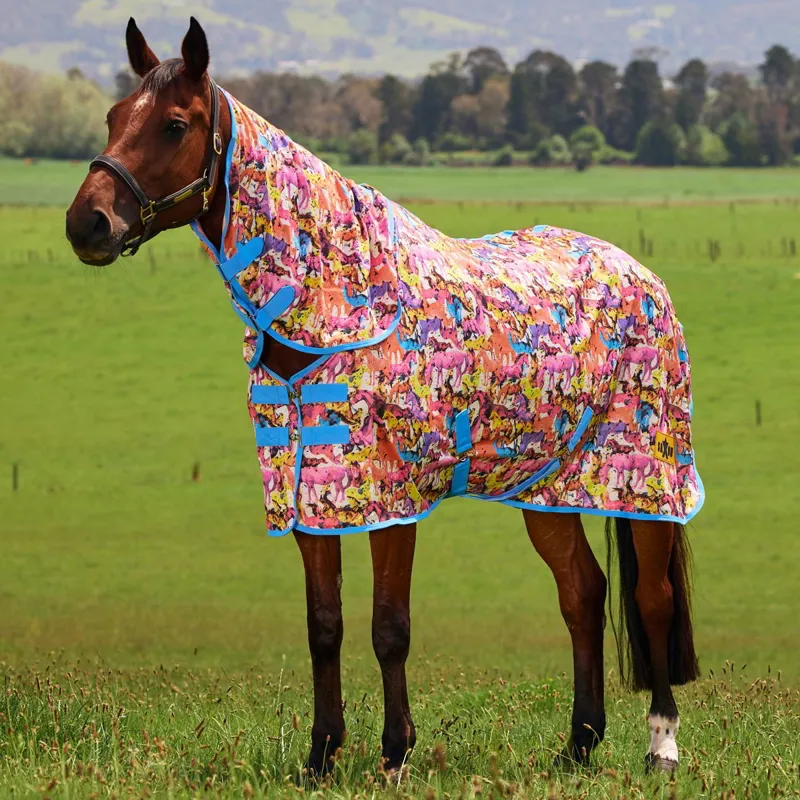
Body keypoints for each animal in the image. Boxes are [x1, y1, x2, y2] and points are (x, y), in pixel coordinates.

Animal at [66, 17, 702, 777]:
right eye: (112, 117)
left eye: (173, 123)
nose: (87, 224)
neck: (337, 305)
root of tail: (642, 275)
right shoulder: (309, 492)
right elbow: (325, 626)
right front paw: (321, 755)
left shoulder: (391, 500)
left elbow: (388, 627)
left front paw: (395, 753)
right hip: (546, 488)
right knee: (582, 593)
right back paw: (578, 744)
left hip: (644, 479)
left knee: (652, 598)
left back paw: (662, 745)